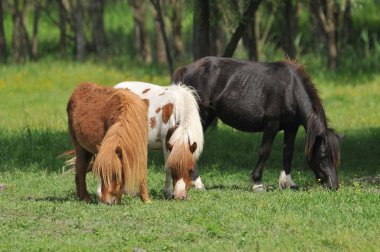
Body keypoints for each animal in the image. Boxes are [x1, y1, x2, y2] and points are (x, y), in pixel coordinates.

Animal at [173, 56, 342, 191]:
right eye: (323, 156)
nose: (333, 186)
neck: (290, 89)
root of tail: (186, 69)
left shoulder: (291, 127)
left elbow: (288, 152)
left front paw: (288, 183)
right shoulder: (271, 124)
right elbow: (265, 151)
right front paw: (257, 182)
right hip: (201, 116)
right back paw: (197, 183)